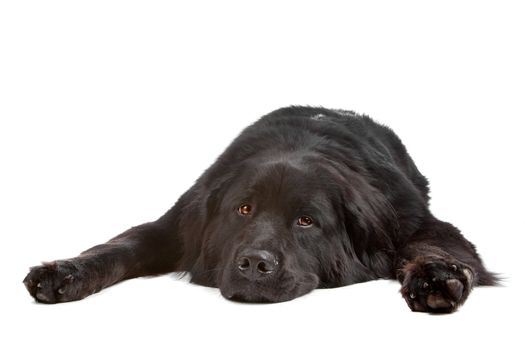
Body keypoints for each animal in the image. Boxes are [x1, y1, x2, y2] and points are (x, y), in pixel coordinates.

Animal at [22, 106, 496, 312]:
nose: (254, 263)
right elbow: (122, 245)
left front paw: (436, 278)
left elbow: (436, 244)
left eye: (306, 221)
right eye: (243, 210)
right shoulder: (179, 223)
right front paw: (64, 271)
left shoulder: (413, 220)